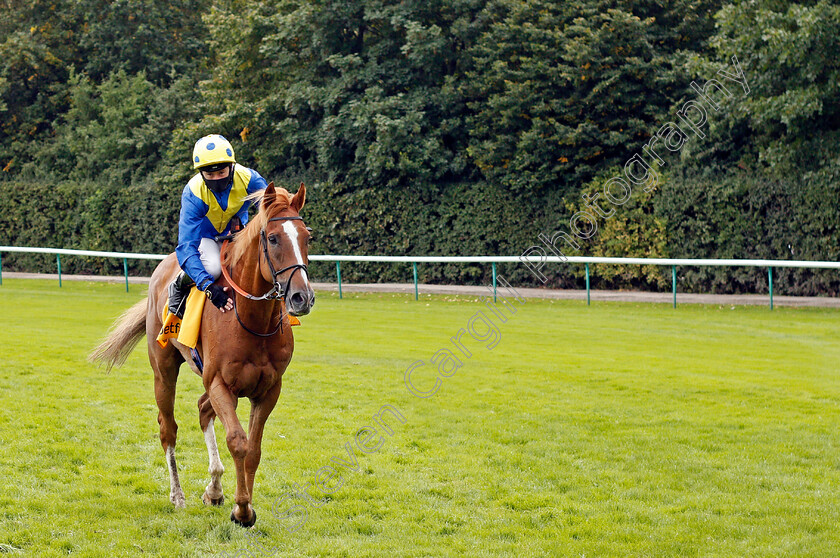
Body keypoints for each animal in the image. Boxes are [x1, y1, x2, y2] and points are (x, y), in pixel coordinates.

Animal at [88, 184, 316, 528]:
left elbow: (254, 449)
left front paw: (239, 502)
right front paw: (242, 509)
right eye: (274, 238)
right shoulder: (220, 382)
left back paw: (214, 489)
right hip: (164, 371)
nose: (302, 297)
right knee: (168, 428)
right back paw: (178, 496)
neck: (251, 320)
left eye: (306, 237)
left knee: (202, 409)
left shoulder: (268, 389)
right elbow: (237, 441)